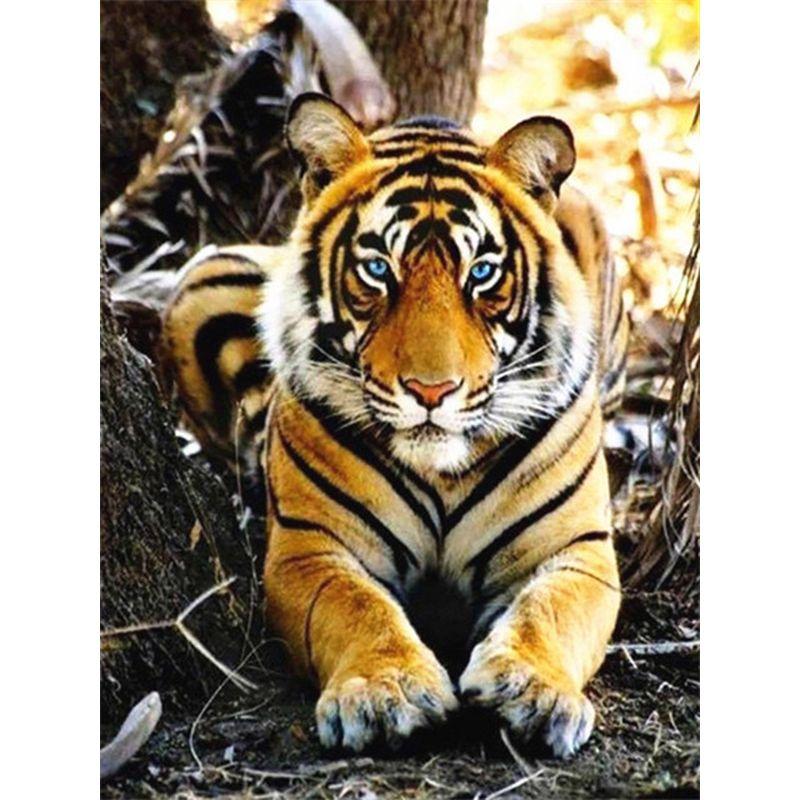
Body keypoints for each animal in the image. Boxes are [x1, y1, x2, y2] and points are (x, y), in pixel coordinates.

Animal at [160, 92, 629, 758]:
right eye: (379, 269)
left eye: (481, 273)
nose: (432, 391)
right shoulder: (311, 548)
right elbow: (359, 607)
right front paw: (386, 694)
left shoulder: (576, 549)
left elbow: (548, 611)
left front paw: (531, 691)